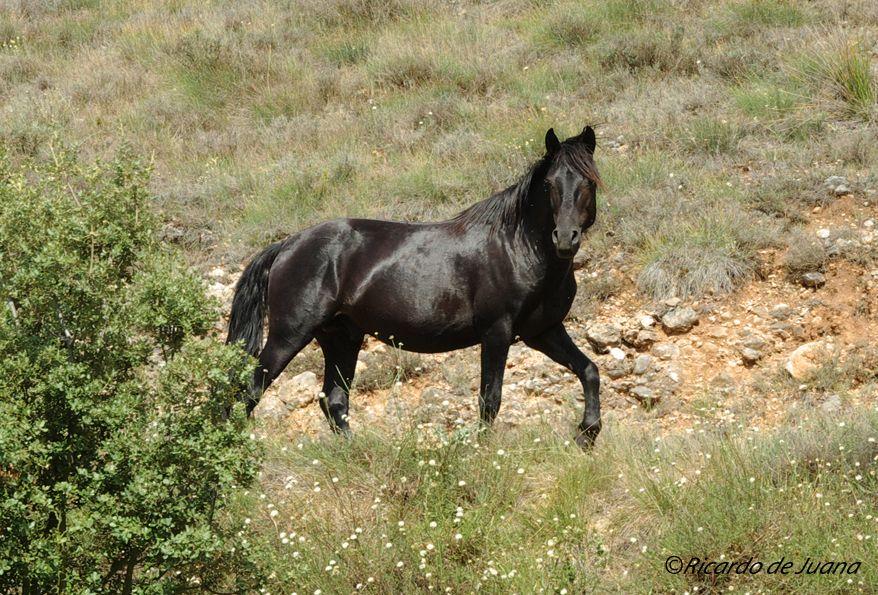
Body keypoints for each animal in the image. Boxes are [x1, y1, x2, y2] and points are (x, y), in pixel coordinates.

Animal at [226, 126, 603, 448]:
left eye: (589, 181)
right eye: (550, 184)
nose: (565, 238)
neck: (517, 247)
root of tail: (287, 244)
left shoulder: (543, 331)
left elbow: (588, 370)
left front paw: (587, 433)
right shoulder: (497, 332)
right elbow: (490, 399)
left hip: (341, 338)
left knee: (334, 401)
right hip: (289, 335)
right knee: (250, 392)